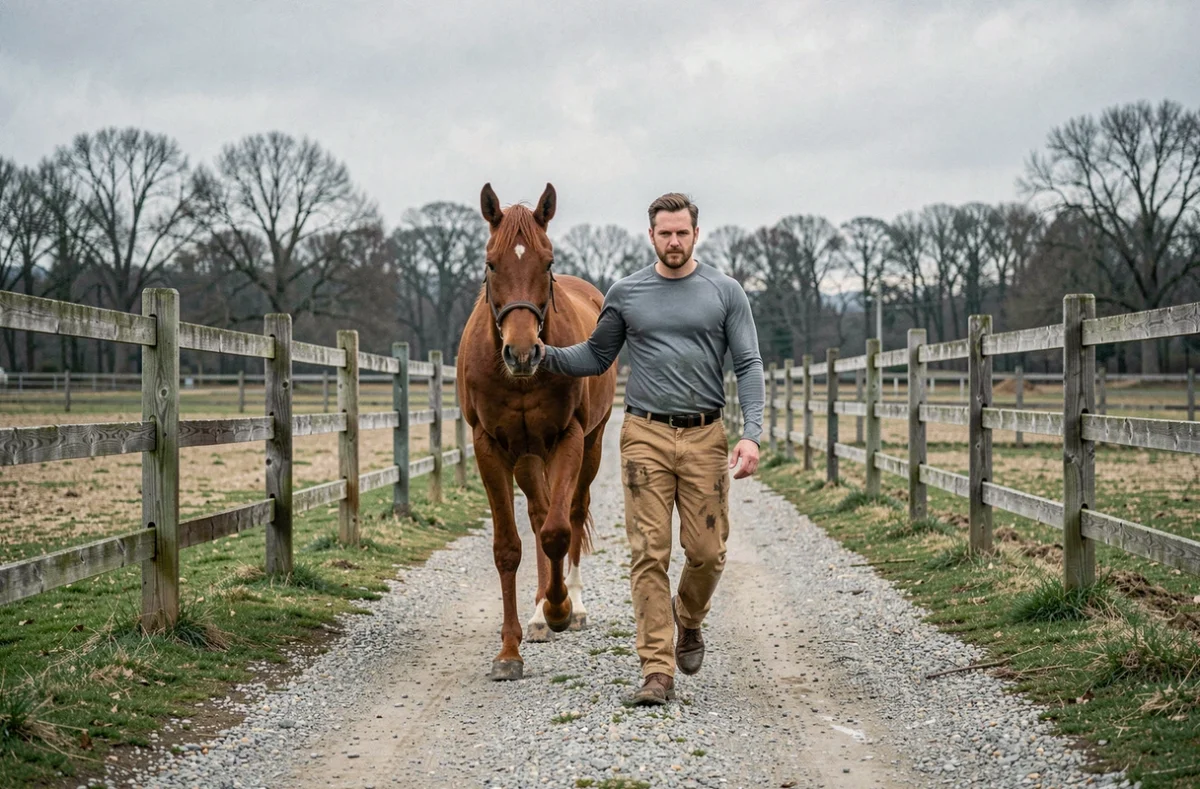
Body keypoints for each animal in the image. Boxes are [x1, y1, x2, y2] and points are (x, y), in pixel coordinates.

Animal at [457, 183, 616, 681]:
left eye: (547, 262)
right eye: (491, 263)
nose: (523, 352)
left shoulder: (569, 439)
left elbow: (558, 533)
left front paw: (561, 609)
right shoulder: (489, 447)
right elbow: (509, 547)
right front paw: (510, 651)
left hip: (591, 446)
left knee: (572, 513)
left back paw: (569, 607)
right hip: (528, 457)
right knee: (539, 512)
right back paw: (537, 614)